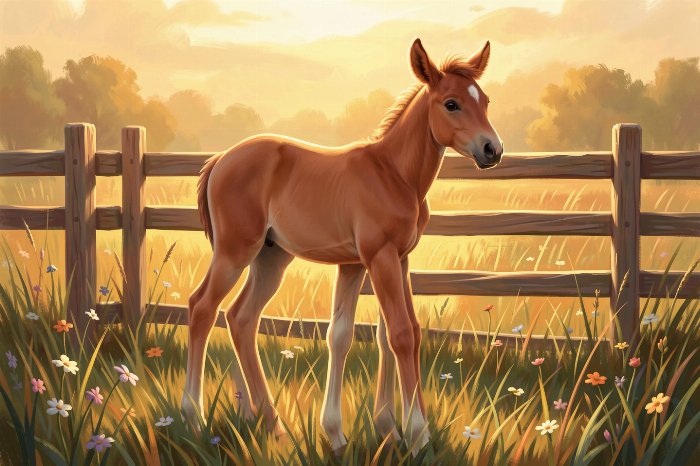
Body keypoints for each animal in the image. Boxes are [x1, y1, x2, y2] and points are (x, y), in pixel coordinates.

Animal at [181, 38, 503, 453]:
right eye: (451, 103)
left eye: (486, 100)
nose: (492, 150)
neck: (393, 174)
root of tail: (220, 159)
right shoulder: (379, 257)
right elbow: (399, 334)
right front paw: (417, 436)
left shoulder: (386, 260)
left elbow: (370, 334)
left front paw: (372, 431)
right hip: (234, 252)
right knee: (202, 307)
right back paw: (194, 418)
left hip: (271, 258)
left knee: (241, 319)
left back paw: (275, 428)